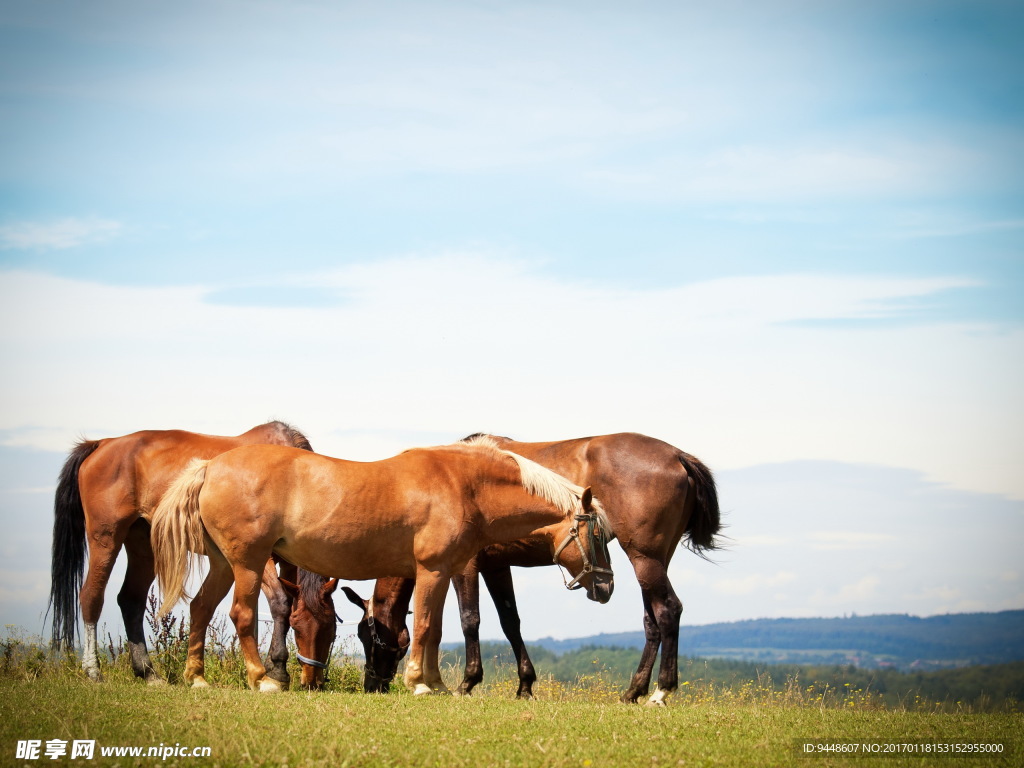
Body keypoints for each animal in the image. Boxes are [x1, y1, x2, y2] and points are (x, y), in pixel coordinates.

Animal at [48, 421, 311, 684]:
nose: (312, 679)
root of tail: (102, 443)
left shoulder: (288, 562)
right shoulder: (256, 556)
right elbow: (280, 603)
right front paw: (277, 669)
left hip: (143, 545)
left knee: (131, 600)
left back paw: (148, 672)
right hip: (105, 537)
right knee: (91, 596)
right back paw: (93, 670)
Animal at [292, 430, 716, 708]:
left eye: (370, 637)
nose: (372, 685)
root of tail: (677, 455)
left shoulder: (465, 566)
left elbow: (470, 620)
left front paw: (467, 682)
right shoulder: (497, 566)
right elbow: (510, 622)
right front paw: (525, 685)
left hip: (645, 558)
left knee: (668, 611)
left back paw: (661, 691)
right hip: (655, 560)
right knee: (652, 621)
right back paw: (634, 691)